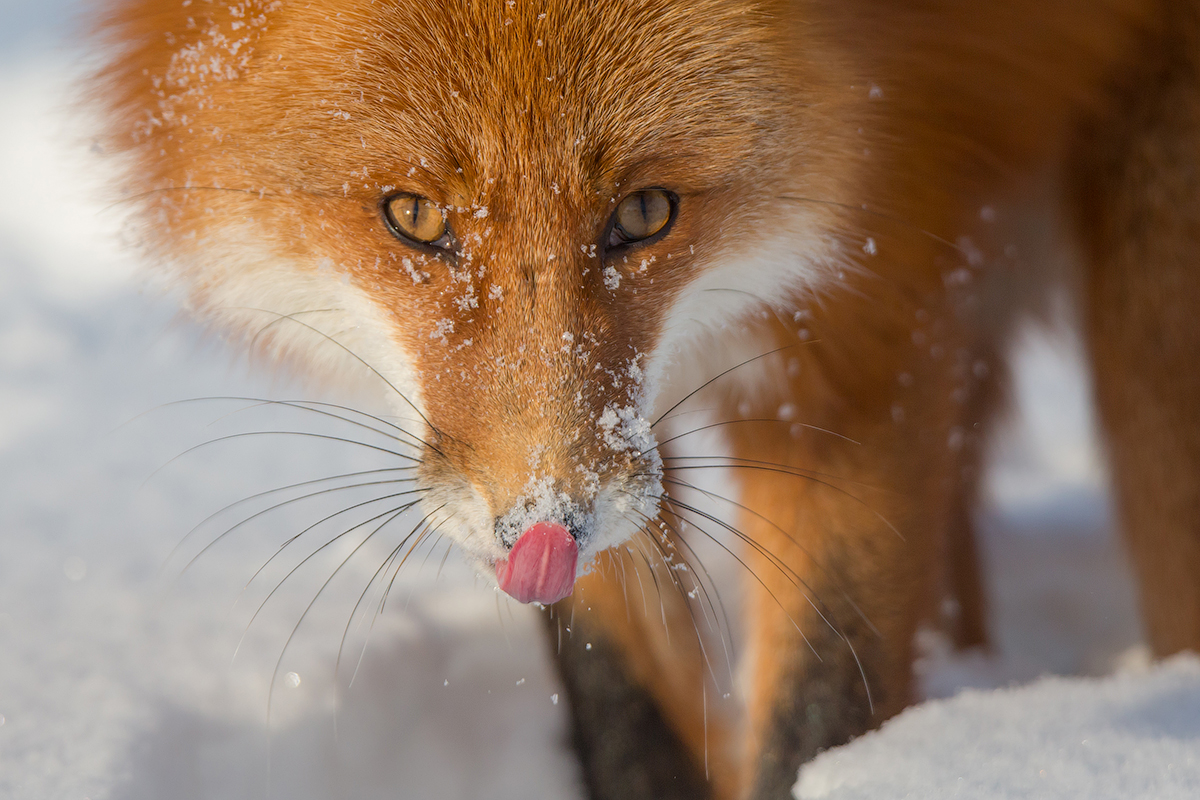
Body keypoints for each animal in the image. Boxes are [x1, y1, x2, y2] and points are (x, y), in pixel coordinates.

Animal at [88, 1, 1200, 800]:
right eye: (415, 217)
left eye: (646, 211)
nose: (546, 525)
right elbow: (627, 703)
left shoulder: (863, 307)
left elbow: (818, 698)